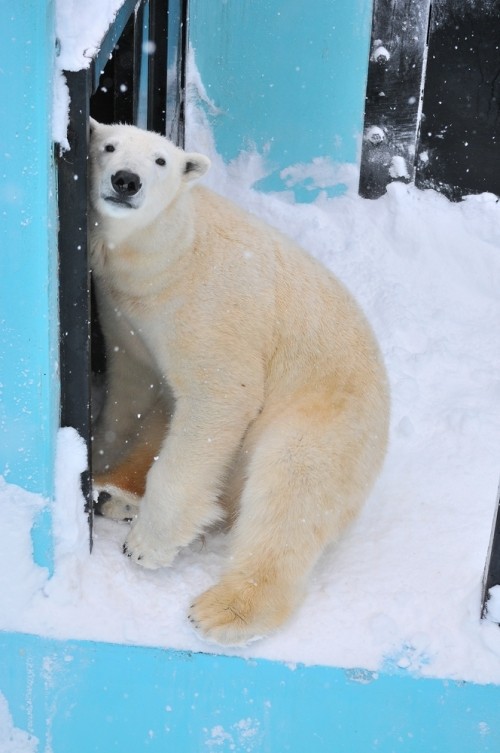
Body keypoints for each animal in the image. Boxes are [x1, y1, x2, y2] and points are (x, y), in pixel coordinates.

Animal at [89, 120, 390, 644]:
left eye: (161, 160)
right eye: (108, 146)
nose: (126, 180)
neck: (169, 254)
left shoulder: (210, 308)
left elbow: (220, 399)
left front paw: (147, 545)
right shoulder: (126, 316)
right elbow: (133, 391)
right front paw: (104, 470)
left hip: (328, 420)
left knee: (292, 490)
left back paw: (223, 609)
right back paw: (117, 495)